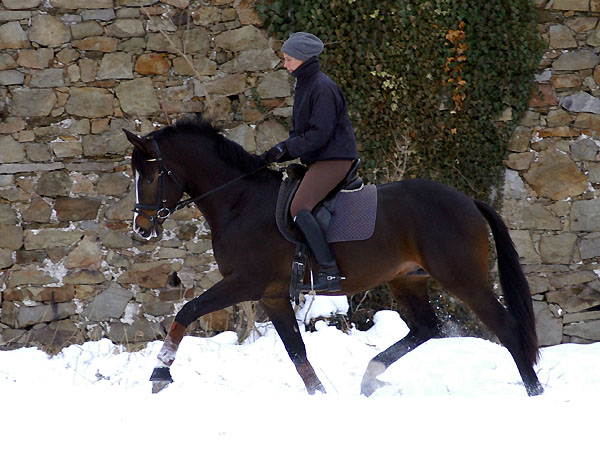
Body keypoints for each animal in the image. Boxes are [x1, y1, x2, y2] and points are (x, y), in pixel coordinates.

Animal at [124, 115, 548, 398]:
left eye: (151, 176)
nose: (142, 229)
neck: (239, 201)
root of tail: (469, 202)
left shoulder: (247, 283)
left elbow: (188, 310)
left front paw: (160, 374)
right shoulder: (272, 295)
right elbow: (296, 350)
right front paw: (320, 397)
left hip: (463, 278)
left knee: (505, 328)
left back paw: (534, 392)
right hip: (407, 279)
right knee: (427, 327)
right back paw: (370, 377)